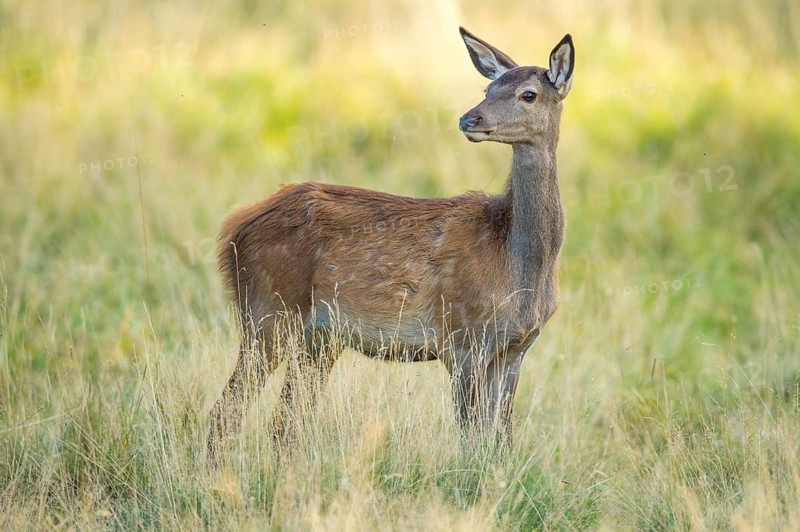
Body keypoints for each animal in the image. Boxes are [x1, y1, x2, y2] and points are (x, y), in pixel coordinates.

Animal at [207, 27, 574, 463]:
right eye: (487, 87)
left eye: (528, 94)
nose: (470, 118)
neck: (517, 265)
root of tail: (234, 227)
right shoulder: (462, 337)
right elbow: (472, 439)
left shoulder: (515, 348)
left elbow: (500, 439)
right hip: (268, 312)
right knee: (225, 411)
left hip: (318, 337)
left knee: (283, 420)